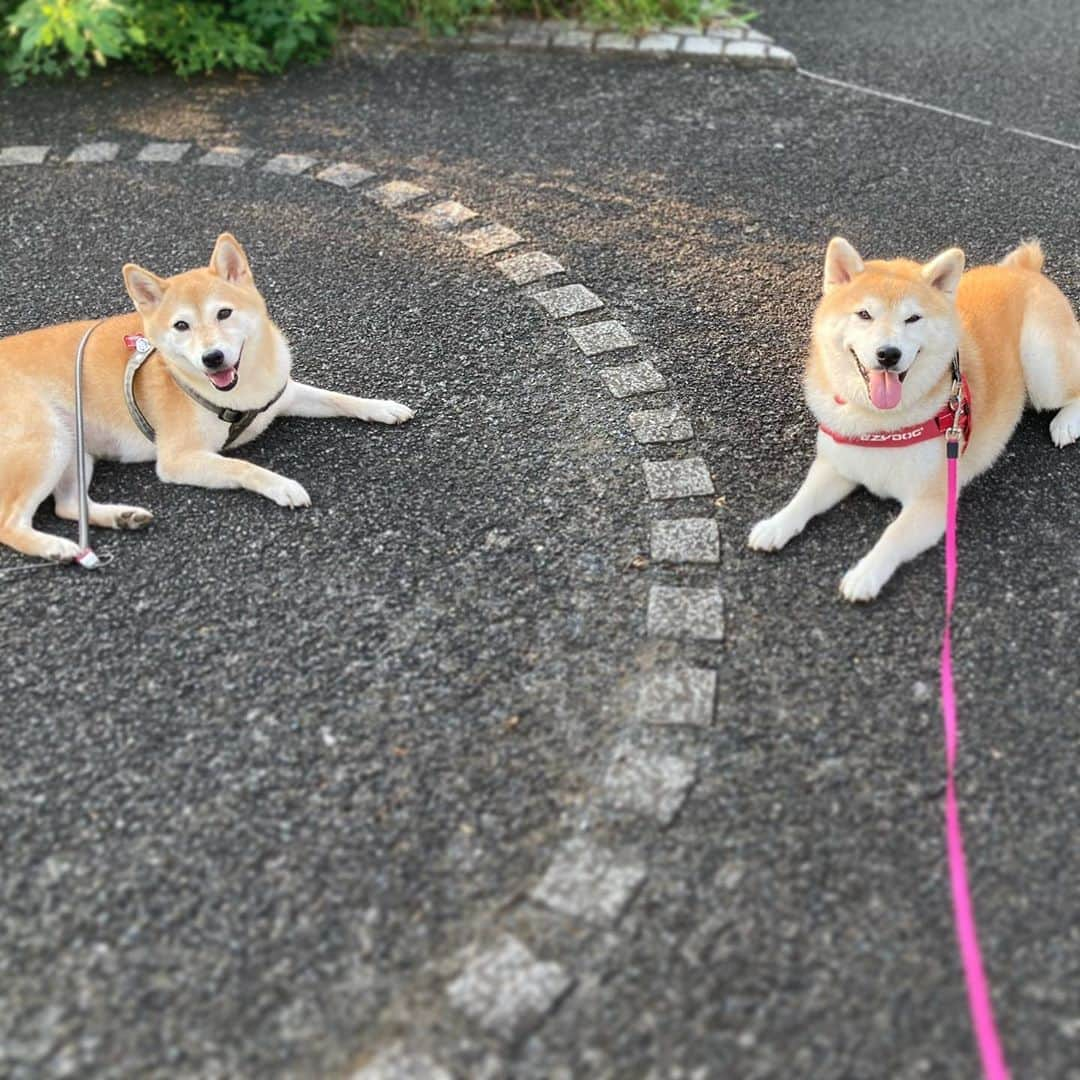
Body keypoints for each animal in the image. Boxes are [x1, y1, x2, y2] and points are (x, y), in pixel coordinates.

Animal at [0, 232, 412, 561]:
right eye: (181, 325)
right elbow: (242, 467)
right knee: (11, 523)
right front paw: (281, 484)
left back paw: (121, 517)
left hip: (75, 447)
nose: (212, 358)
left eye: (224, 313)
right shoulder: (179, 459)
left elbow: (338, 398)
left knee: (69, 506)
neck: (240, 392)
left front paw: (383, 407)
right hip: (49, 440)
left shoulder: (283, 395)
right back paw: (56, 548)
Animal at [747, 237, 1080, 604]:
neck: (879, 423)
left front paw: (865, 574)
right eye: (864, 314)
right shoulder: (838, 464)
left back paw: (1066, 424)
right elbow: (804, 498)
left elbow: (892, 535)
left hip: (1042, 367)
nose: (888, 354)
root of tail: (1023, 270)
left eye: (913, 318)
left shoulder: (932, 502)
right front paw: (775, 525)